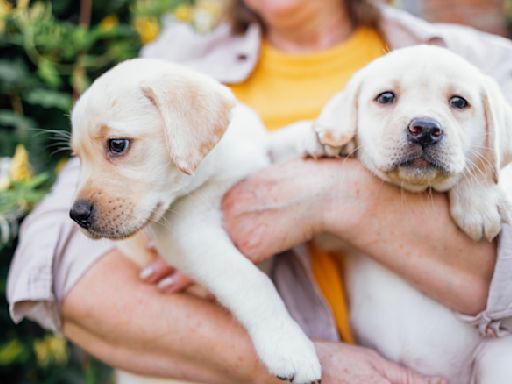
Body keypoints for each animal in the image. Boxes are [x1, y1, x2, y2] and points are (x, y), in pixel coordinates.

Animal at [276, 45, 512, 384]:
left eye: (459, 102)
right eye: (386, 97)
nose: (424, 129)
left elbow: (484, 162)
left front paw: (479, 201)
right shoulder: (330, 234)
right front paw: (322, 137)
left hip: (497, 358)